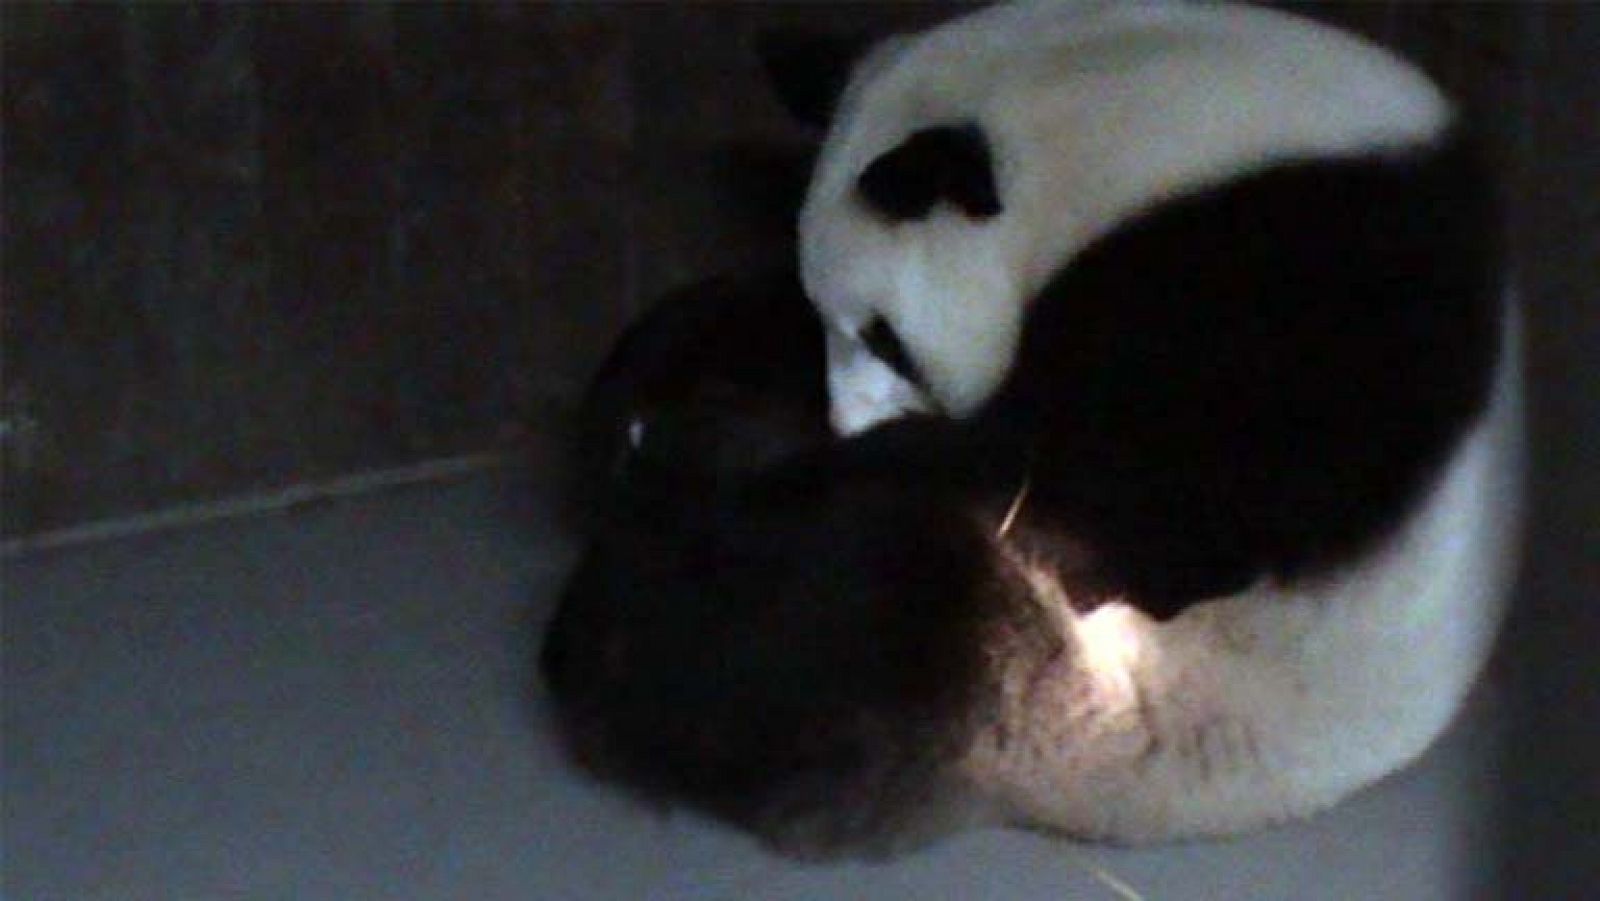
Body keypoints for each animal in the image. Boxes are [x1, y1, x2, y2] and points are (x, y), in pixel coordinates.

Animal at [541, 0, 1521, 857]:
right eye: (833, 322)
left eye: (885, 337)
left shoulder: (1304, 295)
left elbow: (1124, 501)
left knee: (822, 608)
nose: (843, 425)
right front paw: (661, 368)